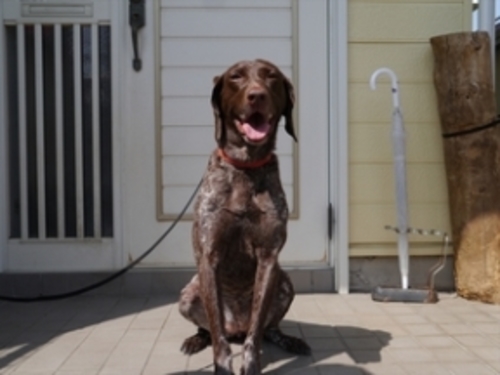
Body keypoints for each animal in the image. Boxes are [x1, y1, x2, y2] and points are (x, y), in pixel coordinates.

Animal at [178, 60, 306, 374]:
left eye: (271, 76)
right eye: (235, 77)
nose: (256, 95)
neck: (246, 166)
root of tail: (236, 326)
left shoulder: (269, 258)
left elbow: (256, 334)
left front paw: (252, 365)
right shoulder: (209, 257)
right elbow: (218, 340)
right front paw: (222, 366)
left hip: (285, 284)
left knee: (269, 329)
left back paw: (291, 341)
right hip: (188, 293)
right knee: (210, 330)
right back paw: (195, 340)